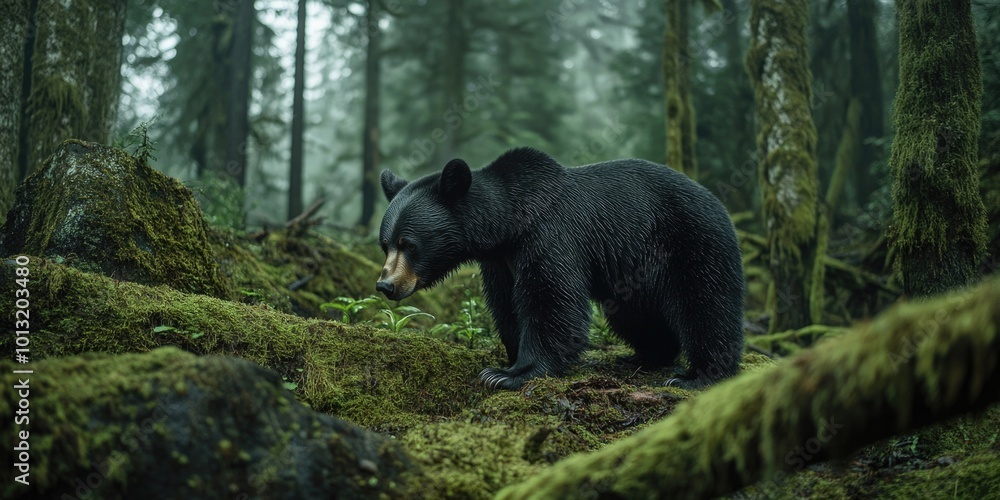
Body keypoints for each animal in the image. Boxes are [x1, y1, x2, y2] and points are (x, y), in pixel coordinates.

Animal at [376, 147, 745, 390]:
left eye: (410, 244)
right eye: (386, 244)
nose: (386, 285)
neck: (509, 226)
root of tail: (718, 203)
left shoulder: (549, 235)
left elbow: (551, 299)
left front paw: (509, 373)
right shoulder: (499, 262)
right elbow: (506, 305)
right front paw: (510, 357)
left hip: (692, 243)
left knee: (705, 304)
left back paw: (698, 374)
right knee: (636, 315)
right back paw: (646, 355)